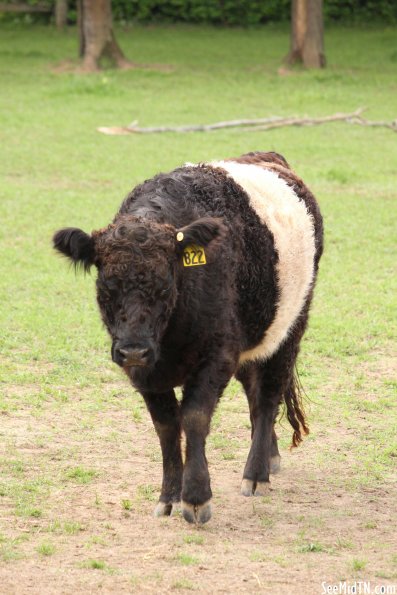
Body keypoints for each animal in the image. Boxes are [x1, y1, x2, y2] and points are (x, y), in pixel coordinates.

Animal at [54, 152, 324, 528]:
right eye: (106, 286)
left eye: (166, 284)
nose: (133, 350)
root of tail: (270, 159)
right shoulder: (147, 372)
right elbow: (166, 427)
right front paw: (169, 496)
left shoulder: (216, 356)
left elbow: (194, 417)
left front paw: (196, 498)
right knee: (255, 395)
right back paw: (269, 455)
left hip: (290, 326)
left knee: (269, 395)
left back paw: (256, 474)